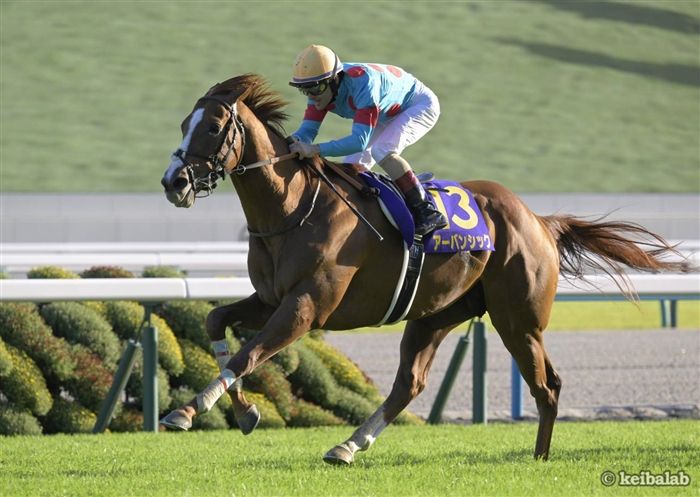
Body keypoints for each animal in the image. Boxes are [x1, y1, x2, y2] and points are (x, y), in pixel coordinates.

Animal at [159, 74, 688, 464]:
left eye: (212, 128)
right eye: (183, 122)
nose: (173, 181)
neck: (293, 208)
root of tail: (538, 219)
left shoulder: (306, 307)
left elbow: (248, 355)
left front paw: (187, 410)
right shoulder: (270, 299)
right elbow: (217, 324)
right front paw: (246, 413)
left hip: (519, 319)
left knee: (546, 385)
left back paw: (540, 458)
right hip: (435, 313)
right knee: (409, 383)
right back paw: (347, 445)